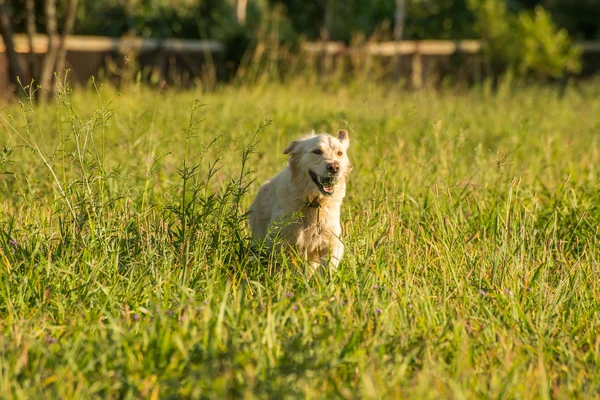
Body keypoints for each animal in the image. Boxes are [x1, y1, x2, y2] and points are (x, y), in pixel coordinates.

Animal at [248, 130, 352, 274]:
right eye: (317, 151)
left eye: (339, 153)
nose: (334, 167)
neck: (312, 204)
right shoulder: (280, 241)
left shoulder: (332, 241)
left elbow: (328, 267)